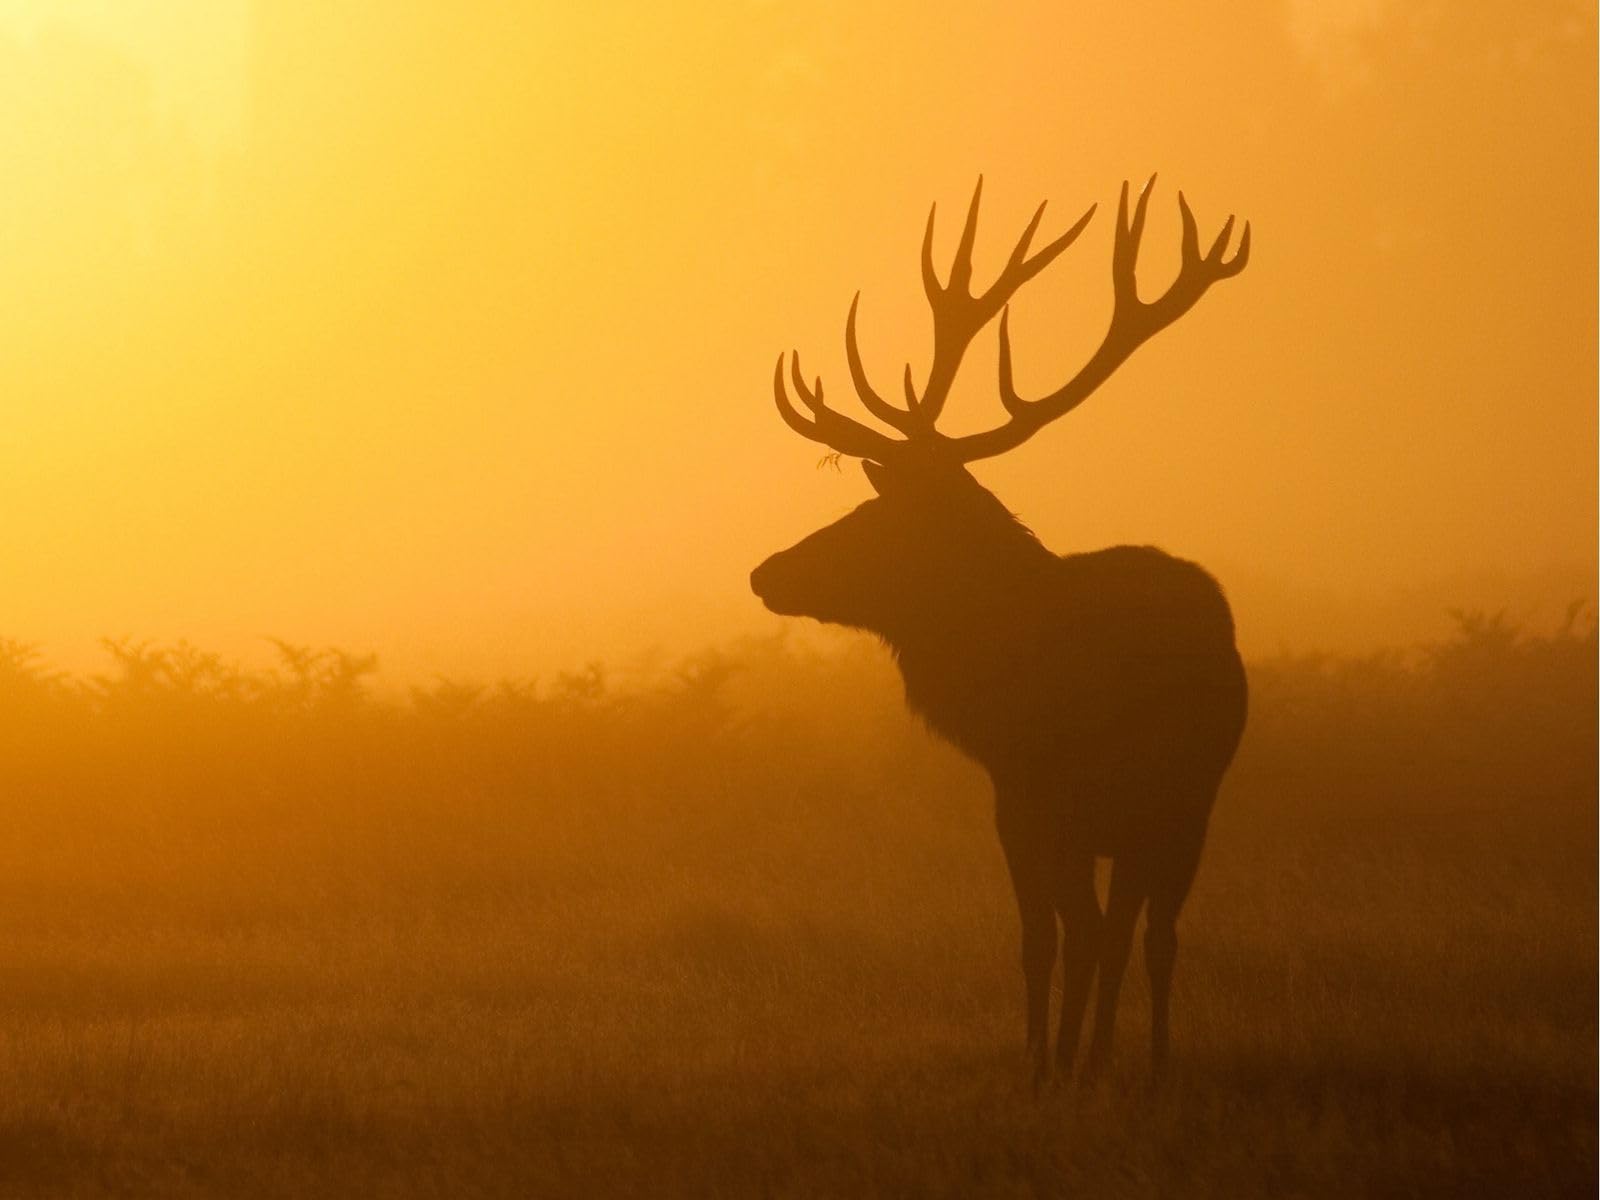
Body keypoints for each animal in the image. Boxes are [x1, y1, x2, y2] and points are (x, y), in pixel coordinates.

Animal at [749, 176, 1250, 1086]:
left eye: (876, 518)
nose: (767, 571)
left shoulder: (1043, 798)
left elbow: (1061, 937)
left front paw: (1052, 1065)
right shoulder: (1047, 808)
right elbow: (1064, 938)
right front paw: (1058, 1060)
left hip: (1144, 801)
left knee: (1126, 933)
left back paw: (1114, 1062)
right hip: (1163, 810)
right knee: (1141, 932)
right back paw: (1134, 1059)